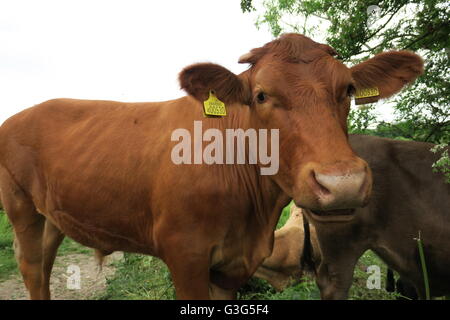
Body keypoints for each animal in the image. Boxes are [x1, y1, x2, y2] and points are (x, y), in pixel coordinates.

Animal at [0, 33, 422, 298]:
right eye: (261, 95)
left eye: (348, 89)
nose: (342, 183)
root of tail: (23, 113)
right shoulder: (184, 255)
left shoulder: (234, 265)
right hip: (20, 206)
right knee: (31, 268)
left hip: (53, 215)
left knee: (45, 267)